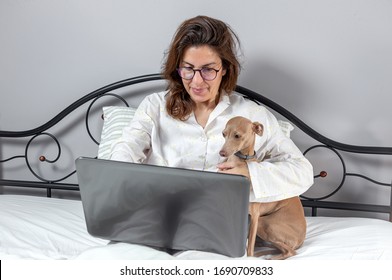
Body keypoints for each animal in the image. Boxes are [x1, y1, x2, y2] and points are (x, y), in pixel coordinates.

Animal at [220, 116, 306, 260]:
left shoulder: (254, 216)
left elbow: (249, 247)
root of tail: (302, 240)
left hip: (265, 224)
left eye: (237, 136)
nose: (222, 153)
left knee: (290, 252)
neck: (242, 160)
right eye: (223, 134)